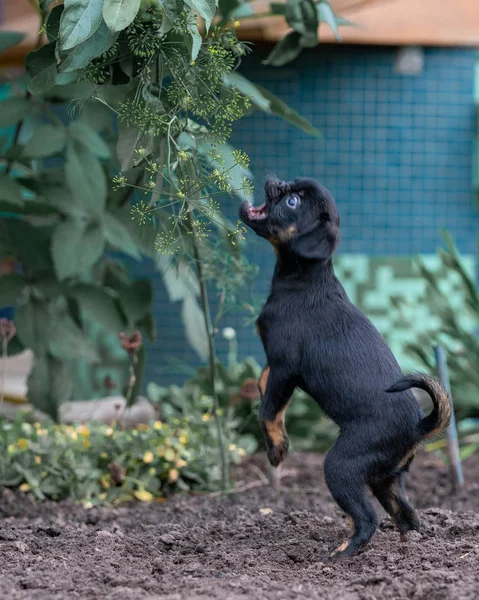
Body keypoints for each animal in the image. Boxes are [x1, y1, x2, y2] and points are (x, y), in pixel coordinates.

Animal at [242, 177, 452, 556]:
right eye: (290, 189)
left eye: (293, 202)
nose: (275, 181)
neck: (303, 279)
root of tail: (418, 427)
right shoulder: (275, 364)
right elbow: (264, 383)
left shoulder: (286, 366)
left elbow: (268, 411)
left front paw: (277, 448)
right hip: (386, 478)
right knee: (406, 515)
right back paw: (406, 550)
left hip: (340, 466)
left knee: (368, 519)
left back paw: (344, 553)